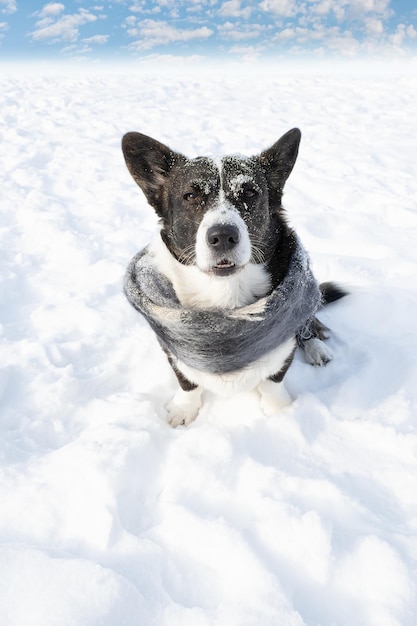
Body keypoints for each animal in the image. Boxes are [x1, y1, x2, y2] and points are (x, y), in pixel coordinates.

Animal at [121, 129, 344, 426]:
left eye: (249, 192)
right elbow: (187, 382)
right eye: (190, 196)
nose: (223, 236)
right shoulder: (171, 345)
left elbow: (274, 380)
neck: (225, 295)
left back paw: (317, 348)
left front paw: (278, 411)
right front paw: (183, 410)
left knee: (308, 324)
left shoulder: (281, 345)